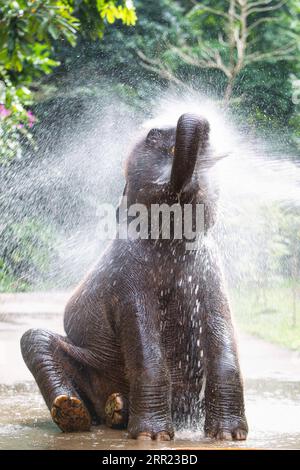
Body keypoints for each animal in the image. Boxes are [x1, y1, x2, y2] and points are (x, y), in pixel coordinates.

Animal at [19, 113, 247, 440]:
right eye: (152, 136)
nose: (204, 122)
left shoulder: (210, 269)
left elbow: (221, 327)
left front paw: (228, 436)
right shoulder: (127, 277)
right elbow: (142, 337)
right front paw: (152, 437)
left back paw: (118, 409)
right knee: (34, 339)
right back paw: (77, 413)